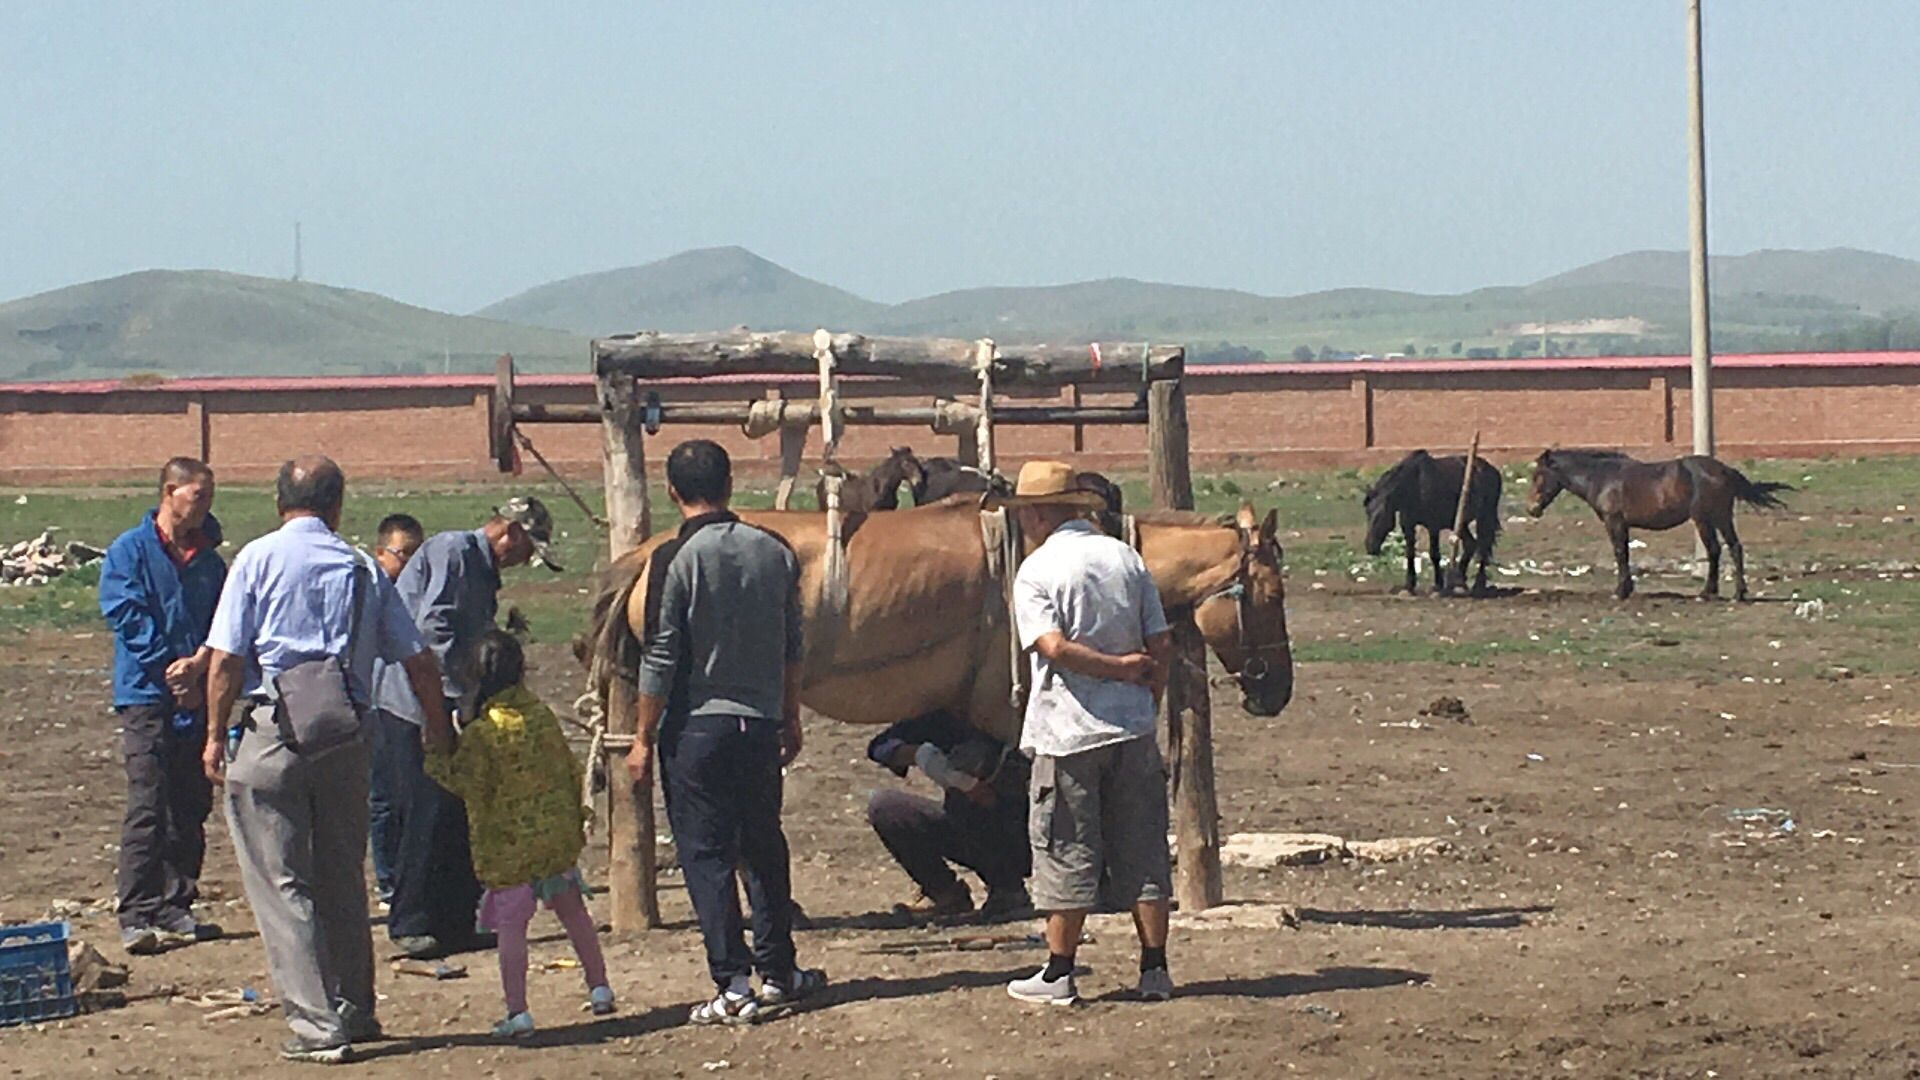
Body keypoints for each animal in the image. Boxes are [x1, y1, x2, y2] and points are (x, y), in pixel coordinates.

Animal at [1359, 449, 1505, 591]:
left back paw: (1477, 584)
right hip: (1459, 522)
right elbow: (1410, 553)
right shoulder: (1408, 525)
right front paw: (1409, 585)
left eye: (1381, 515)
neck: (1416, 485)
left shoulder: (1433, 526)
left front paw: (1437, 585)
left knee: (1483, 546)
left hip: (1484, 518)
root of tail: (1493, 470)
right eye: (1367, 513)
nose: (1370, 547)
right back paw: (1459, 581)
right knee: (1471, 544)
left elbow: (1434, 554)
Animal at [1520, 445, 1789, 595]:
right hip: (1722, 518)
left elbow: (1620, 553)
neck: (1601, 477)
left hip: (1704, 519)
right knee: (1734, 548)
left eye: (1538, 475)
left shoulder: (1614, 521)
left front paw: (1622, 590)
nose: (1532, 509)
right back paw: (1738, 593)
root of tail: (1724, 470)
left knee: (1715, 549)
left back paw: (1708, 592)